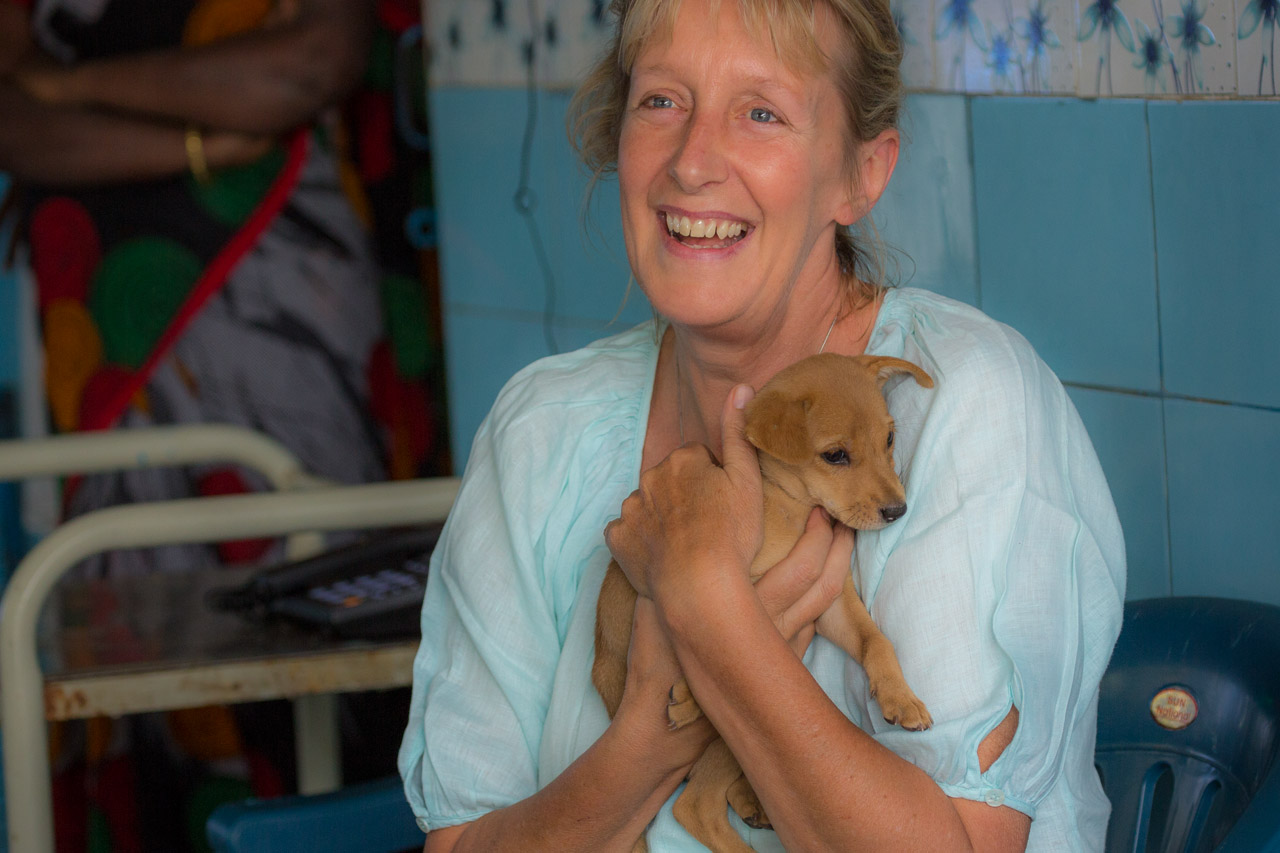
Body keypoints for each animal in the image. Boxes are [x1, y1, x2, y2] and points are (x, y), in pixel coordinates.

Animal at [593, 353, 934, 853]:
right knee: (694, 806)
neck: (790, 508)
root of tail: (602, 665)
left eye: (889, 438)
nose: (897, 511)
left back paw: (753, 800)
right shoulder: (737, 585)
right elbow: (735, 628)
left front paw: (899, 695)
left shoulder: (833, 605)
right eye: (835, 455)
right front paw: (690, 695)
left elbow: (877, 641)